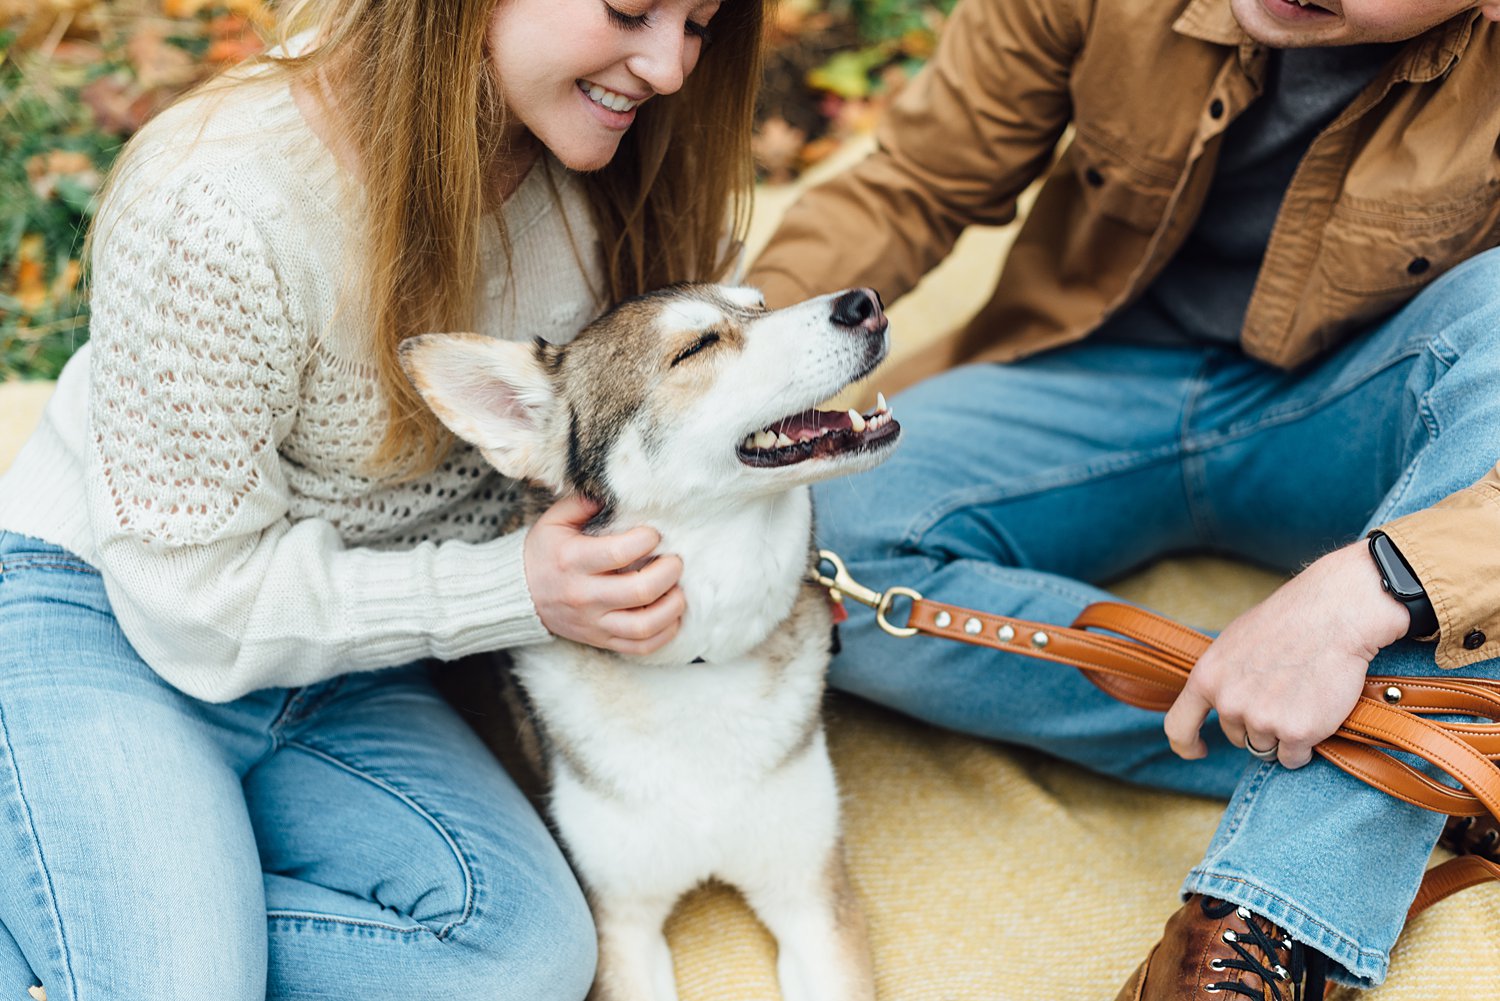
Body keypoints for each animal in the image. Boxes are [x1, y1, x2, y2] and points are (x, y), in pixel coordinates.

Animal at [402, 282, 900, 1001]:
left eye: (760, 304)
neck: (701, 666)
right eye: (695, 348)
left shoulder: (815, 899)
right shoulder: (621, 929)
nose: (864, 302)